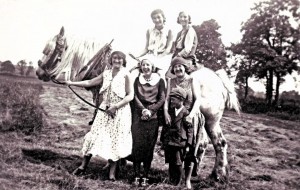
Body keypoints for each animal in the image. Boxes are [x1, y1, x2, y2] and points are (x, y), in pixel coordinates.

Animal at [37, 27, 239, 187]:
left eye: (50, 50)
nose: (39, 72)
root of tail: (218, 78)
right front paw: (114, 164)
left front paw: (113, 165)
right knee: (206, 144)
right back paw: (202, 172)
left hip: (210, 120)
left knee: (219, 144)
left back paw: (217, 175)